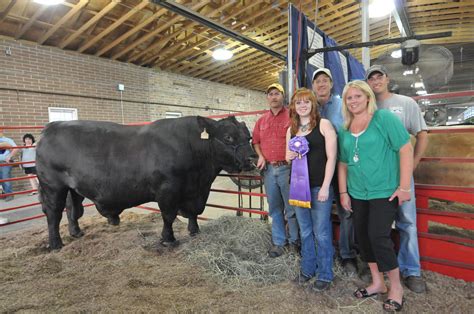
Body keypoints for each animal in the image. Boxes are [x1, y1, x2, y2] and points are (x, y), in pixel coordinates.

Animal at [37, 116, 258, 250]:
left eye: (249, 137)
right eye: (228, 137)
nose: (253, 158)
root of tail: (52, 127)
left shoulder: (195, 192)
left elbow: (194, 212)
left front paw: (194, 231)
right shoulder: (167, 190)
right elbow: (168, 216)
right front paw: (168, 239)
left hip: (73, 189)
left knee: (72, 209)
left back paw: (76, 233)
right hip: (52, 186)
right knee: (54, 214)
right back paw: (55, 243)